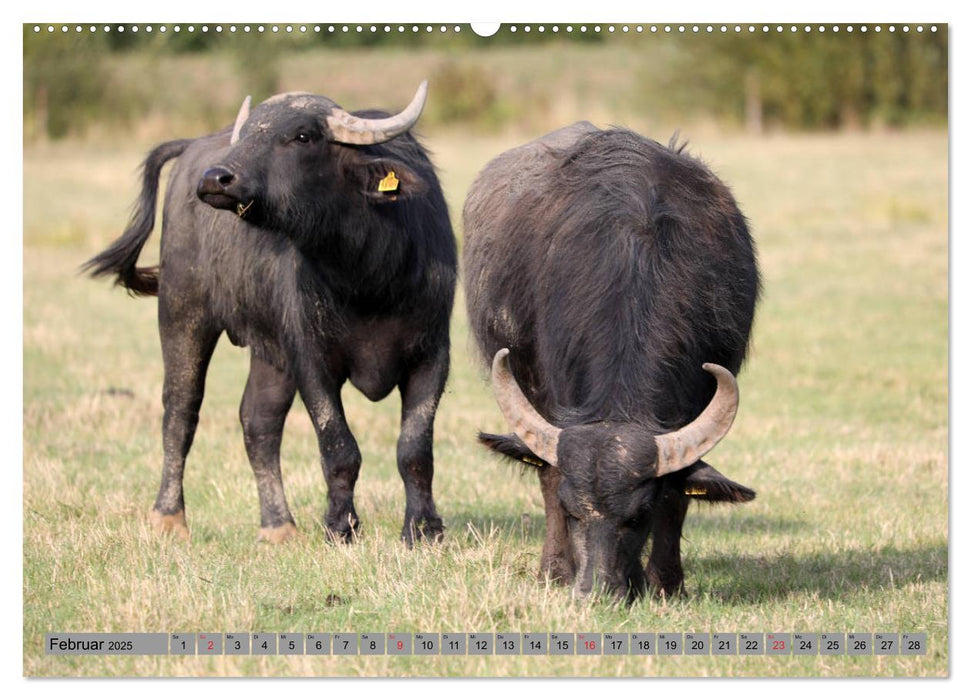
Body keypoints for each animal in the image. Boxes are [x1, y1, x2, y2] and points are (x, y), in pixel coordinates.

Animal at [82, 83, 456, 548]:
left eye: (302, 136)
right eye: (248, 133)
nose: (216, 178)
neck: (366, 276)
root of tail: (192, 148)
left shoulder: (431, 354)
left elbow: (415, 449)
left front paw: (423, 530)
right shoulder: (312, 360)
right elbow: (338, 446)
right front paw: (340, 527)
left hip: (270, 351)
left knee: (258, 423)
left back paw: (278, 525)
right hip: (181, 312)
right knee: (180, 412)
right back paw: (169, 517)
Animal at [464, 121, 760, 600]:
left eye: (639, 515)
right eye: (571, 510)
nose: (595, 590)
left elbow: (678, 495)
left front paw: (665, 582)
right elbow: (550, 478)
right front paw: (556, 571)